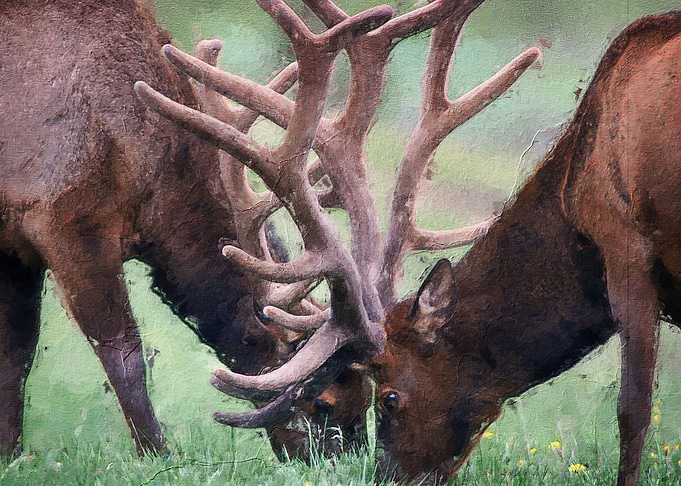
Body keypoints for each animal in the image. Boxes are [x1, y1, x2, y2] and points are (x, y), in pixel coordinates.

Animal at [0, 0, 385, 461]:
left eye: (368, 395)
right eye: (323, 402)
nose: (345, 464)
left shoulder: (13, 248)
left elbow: (15, 359)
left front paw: (10, 456)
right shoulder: (62, 215)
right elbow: (124, 354)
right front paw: (156, 456)